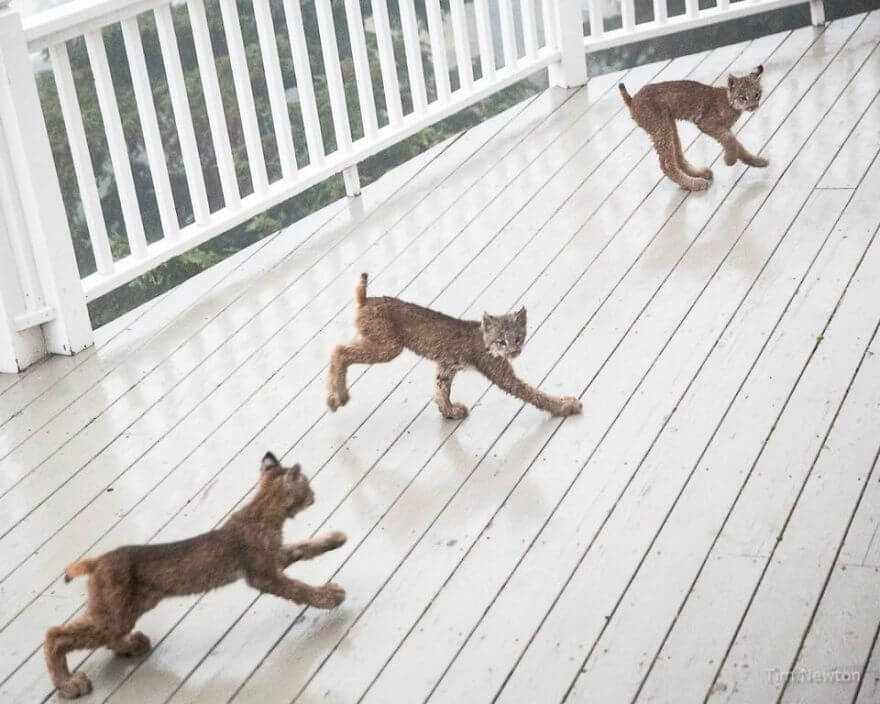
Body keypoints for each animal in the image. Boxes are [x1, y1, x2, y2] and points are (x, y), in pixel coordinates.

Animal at [44, 454, 346, 696]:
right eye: (307, 484)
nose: (315, 495)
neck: (262, 509)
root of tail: (97, 560)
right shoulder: (264, 575)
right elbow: (299, 589)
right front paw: (330, 596)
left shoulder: (273, 559)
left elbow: (303, 547)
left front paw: (335, 539)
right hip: (116, 613)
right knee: (55, 634)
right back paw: (69, 684)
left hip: (126, 610)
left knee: (102, 634)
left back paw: (129, 645)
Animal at [326, 274, 580, 418]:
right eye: (501, 341)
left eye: (518, 338)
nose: (514, 351)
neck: (485, 339)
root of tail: (367, 299)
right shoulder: (502, 374)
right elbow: (533, 393)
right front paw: (565, 407)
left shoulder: (446, 365)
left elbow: (442, 389)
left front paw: (448, 411)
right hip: (389, 347)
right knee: (339, 350)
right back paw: (337, 397)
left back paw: (335, 396)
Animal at [620, 65, 768, 191]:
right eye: (743, 98)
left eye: (757, 94)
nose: (753, 107)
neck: (730, 103)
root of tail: (633, 100)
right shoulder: (707, 124)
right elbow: (730, 140)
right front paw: (730, 160)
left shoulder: (723, 128)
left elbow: (737, 144)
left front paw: (756, 161)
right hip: (660, 127)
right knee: (666, 164)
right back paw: (695, 184)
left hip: (669, 125)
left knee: (677, 156)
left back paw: (698, 174)